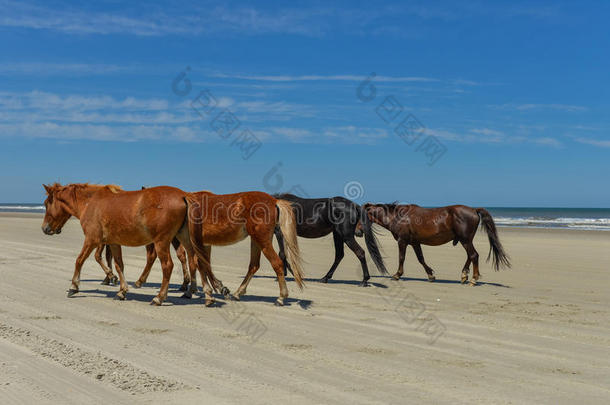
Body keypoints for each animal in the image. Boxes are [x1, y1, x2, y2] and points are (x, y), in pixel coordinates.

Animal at [41, 183, 226, 304]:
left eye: (46, 203)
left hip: (162, 242)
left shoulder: (92, 240)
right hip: (186, 239)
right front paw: (121, 291)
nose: (45, 228)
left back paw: (159, 297)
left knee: (168, 266)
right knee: (197, 261)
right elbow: (119, 265)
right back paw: (208, 295)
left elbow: (79, 260)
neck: (91, 202)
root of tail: (183, 195)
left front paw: (74, 287)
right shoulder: (114, 243)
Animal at [360, 202, 508, 284]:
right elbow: (421, 258)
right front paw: (430, 275)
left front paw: (397, 274)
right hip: (465, 240)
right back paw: (464, 275)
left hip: (465, 240)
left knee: (473, 255)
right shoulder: (415, 243)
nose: (359, 230)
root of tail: (474, 209)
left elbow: (401, 258)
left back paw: (473, 279)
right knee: (470, 256)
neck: (397, 216)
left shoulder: (403, 241)